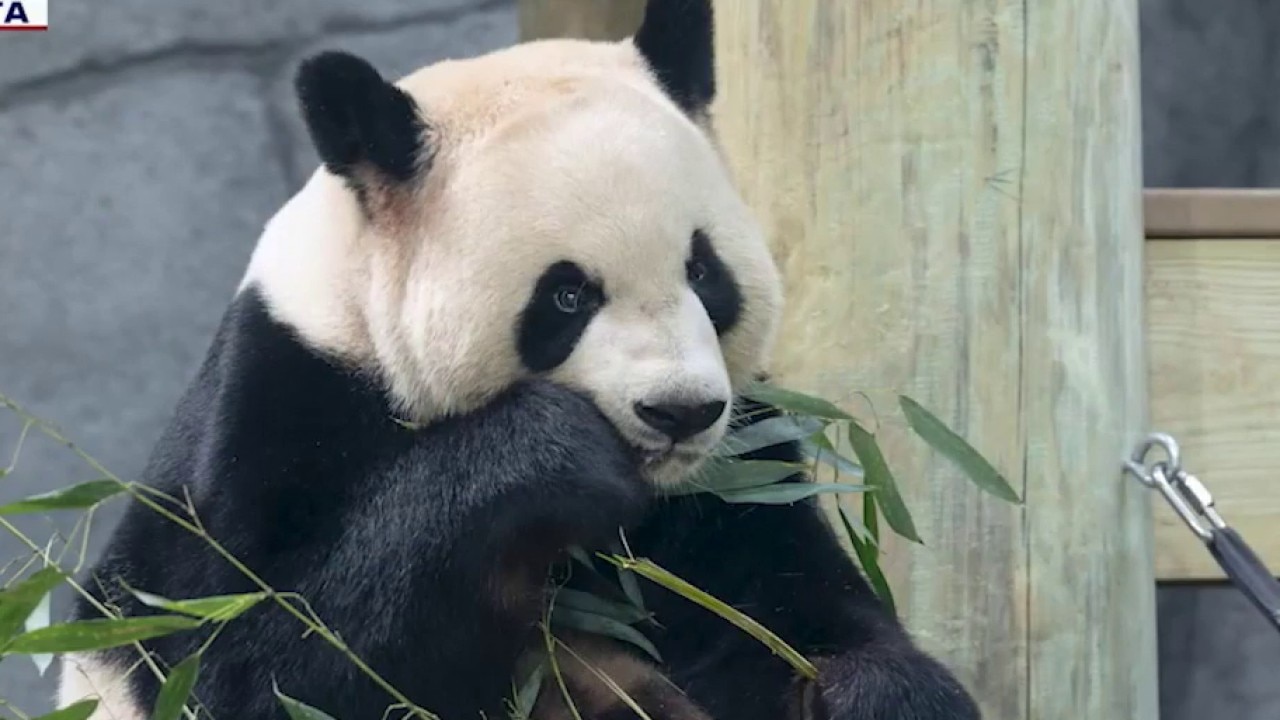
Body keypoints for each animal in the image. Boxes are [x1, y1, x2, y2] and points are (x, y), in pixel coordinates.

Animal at [55, 1, 982, 719]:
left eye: (703, 270)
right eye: (567, 297)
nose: (678, 412)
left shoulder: (736, 469)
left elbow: (780, 604)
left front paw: (881, 692)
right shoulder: (277, 412)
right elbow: (262, 663)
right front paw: (551, 458)